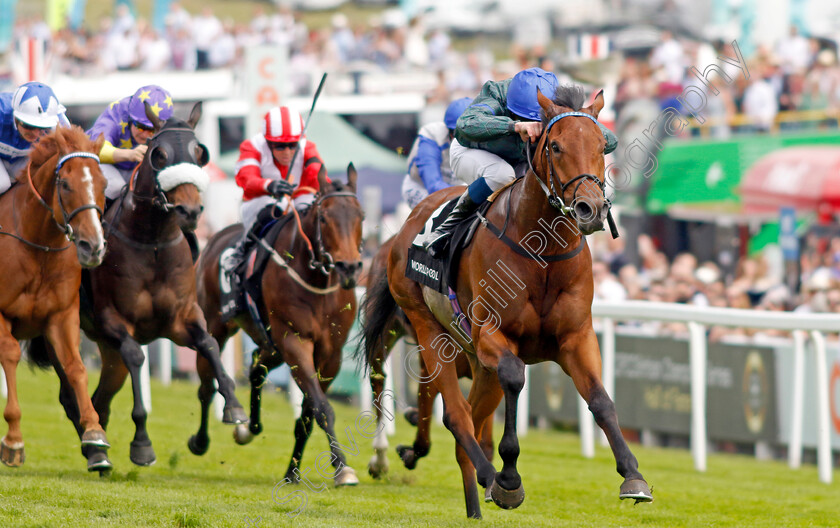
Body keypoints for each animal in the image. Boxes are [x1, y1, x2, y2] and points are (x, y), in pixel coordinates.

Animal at [0, 125, 110, 470]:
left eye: (103, 183)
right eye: (65, 184)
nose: (93, 246)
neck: (38, 244)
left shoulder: (61, 315)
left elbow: (76, 367)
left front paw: (95, 434)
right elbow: (10, 354)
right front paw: (13, 441)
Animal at [43, 101, 246, 468]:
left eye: (200, 152)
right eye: (159, 154)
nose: (189, 210)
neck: (151, 243)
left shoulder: (183, 318)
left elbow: (209, 343)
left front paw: (235, 408)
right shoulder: (114, 322)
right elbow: (137, 357)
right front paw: (141, 444)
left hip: (108, 352)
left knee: (102, 399)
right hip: (62, 329)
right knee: (71, 394)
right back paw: (94, 447)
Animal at [197, 165, 368, 486]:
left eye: (361, 216)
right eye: (324, 218)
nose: (349, 268)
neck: (317, 282)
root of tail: (213, 238)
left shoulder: (331, 355)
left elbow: (308, 415)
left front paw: (293, 472)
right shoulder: (294, 341)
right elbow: (323, 408)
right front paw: (342, 467)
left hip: (271, 344)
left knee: (256, 368)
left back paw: (249, 428)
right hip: (216, 326)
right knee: (206, 384)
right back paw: (203, 438)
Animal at [360, 235, 492, 478]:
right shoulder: (430, 368)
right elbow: (425, 437)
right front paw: (409, 453)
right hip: (383, 332)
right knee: (378, 378)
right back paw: (380, 458)